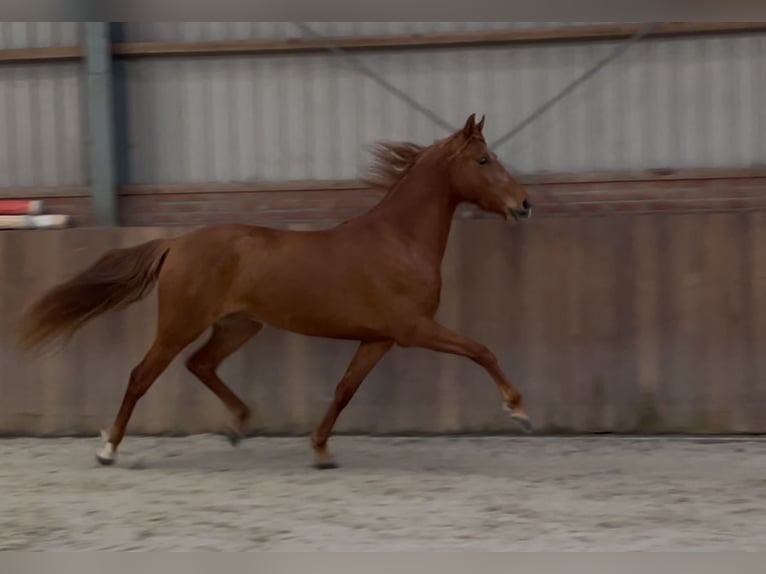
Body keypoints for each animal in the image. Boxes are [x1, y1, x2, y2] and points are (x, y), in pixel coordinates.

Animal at [16, 115, 536, 470]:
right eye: (484, 160)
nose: (524, 204)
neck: (399, 240)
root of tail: (175, 243)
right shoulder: (413, 329)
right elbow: (482, 350)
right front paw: (519, 411)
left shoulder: (378, 338)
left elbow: (344, 390)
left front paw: (321, 450)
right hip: (180, 324)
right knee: (142, 375)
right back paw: (108, 447)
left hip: (239, 326)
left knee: (200, 364)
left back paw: (239, 424)